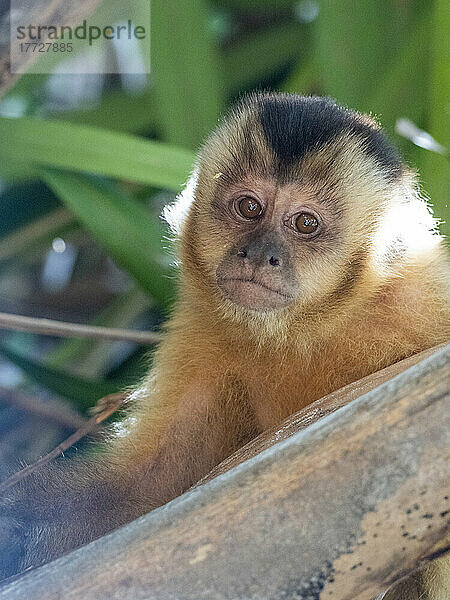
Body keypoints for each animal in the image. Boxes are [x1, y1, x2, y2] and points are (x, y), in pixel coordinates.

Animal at [0, 96, 450, 596]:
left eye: (305, 223)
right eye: (249, 207)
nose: (258, 254)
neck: (308, 328)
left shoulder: (423, 298)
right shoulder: (203, 336)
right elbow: (146, 495)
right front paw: (13, 524)